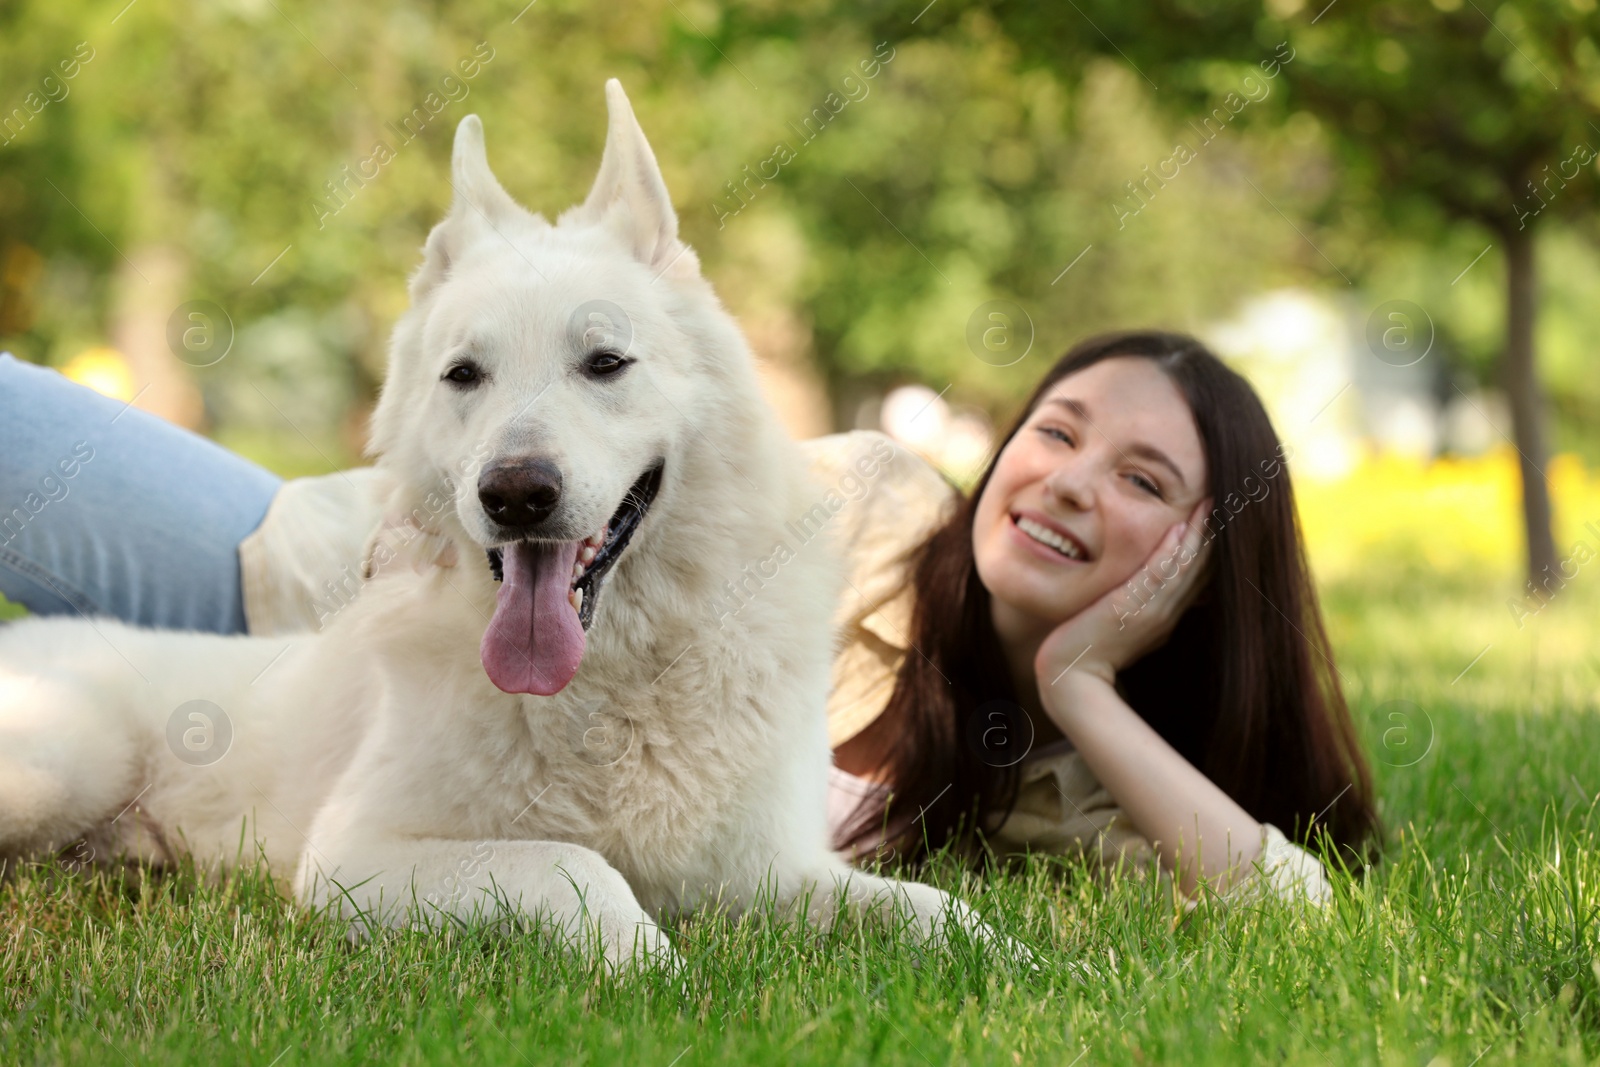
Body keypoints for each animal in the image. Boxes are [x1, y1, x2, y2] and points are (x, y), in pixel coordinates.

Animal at [0, 81, 1011, 966]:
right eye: (463, 375)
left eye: (605, 362)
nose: (516, 493)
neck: (610, 687)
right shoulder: (355, 857)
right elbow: (576, 864)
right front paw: (651, 966)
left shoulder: (768, 869)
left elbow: (932, 907)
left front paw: (1018, 961)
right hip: (62, 766)